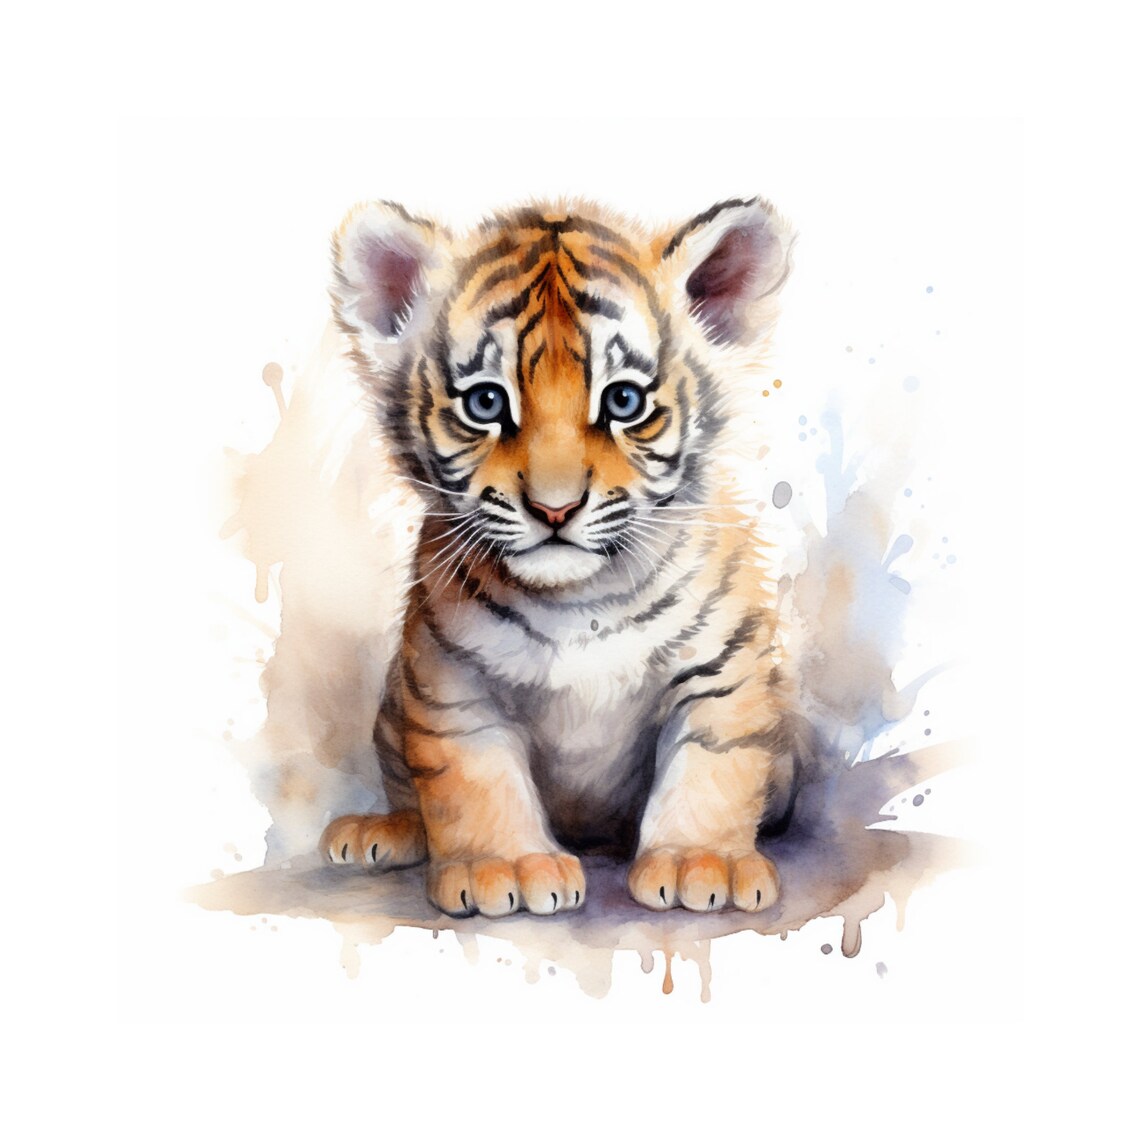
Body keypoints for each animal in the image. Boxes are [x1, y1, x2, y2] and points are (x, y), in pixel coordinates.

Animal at [318, 196, 798, 918]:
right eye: (486, 401)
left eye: (624, 401)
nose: (554, 508)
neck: (581, 598)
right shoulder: (454, 683)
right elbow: (475, 779)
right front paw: (505, 866)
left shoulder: (723, 673)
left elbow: (713, 764)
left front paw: (700, 861)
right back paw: (384, 831)